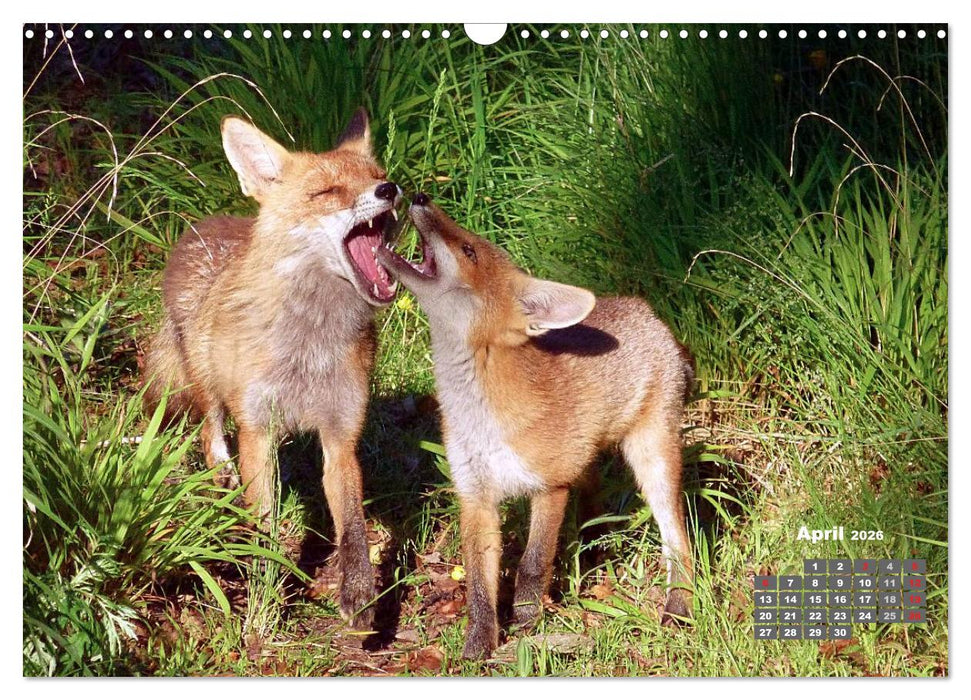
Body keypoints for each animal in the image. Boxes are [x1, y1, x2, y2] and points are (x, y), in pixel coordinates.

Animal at [142, 109, 402, 628]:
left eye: (377, 176)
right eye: (327, 192)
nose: (391, 190)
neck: (309, 347)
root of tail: (207, 224)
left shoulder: (341, 432)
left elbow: (353, 525)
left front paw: (360, 594)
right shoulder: (257, 429)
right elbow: (265, 525)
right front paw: (263, 592)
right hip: (207, 383)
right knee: (209, 433)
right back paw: (221, 475)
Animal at [376, 194, 695, 658]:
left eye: (469, 250)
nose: (419, 197)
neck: (480, 419)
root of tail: (646, 310)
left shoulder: (551, 486)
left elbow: (531, 564)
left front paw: (527, 622)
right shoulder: (475, 496)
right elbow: (478, 585)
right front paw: (479, 645)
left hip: (652, 462)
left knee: (679, 540)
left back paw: (680, 606)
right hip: (589, 462)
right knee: (594, 502)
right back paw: (593, 554)